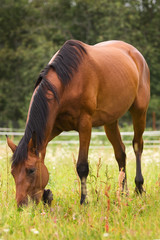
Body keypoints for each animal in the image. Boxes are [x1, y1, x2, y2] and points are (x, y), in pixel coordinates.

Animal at [6, 39, 150, 206]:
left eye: (31, 170)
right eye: (13, 172)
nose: (22, 205)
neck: (67, 82)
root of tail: (135, 53)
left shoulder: (85, 124)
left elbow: (82, 166)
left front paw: (84, 201)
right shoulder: (53, 128)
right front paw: (46, 195)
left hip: (140, 111)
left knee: (137, 145)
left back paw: (138, 188)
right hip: (111, 121)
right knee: (120, 153)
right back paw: (122, 193)